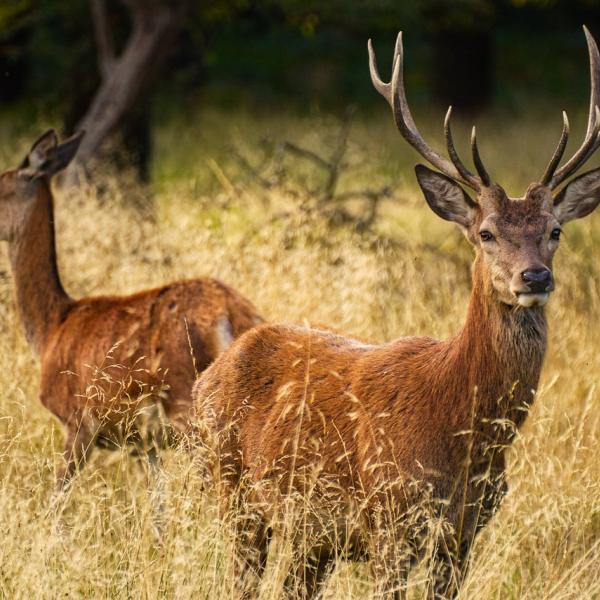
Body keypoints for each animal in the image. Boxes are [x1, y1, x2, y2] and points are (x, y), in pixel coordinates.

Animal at [0, 129, 262, 490]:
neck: (51, 328)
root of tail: (230, 315)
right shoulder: (142, 443)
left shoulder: (78, 421)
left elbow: (57, 495)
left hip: (187, 401)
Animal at [190, 27, 600, 600]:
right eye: (486, 233)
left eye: (555, 230)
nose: (535, 277)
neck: (462, 434)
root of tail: (208, 375)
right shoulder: (389, 517)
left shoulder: (465, 532)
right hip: (232, 490)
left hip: (309, 535)